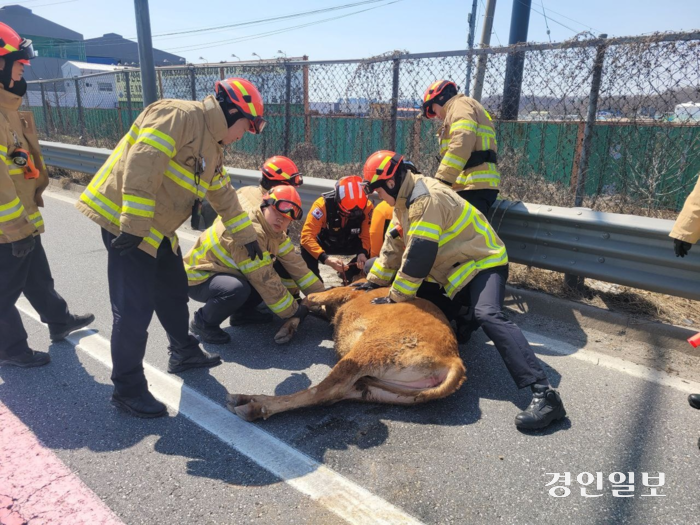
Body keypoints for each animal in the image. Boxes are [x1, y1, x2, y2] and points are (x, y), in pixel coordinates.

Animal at [226, 284, 464, 420]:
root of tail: (453, 361)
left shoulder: (338, 293)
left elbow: (309, 298)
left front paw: (286, 328)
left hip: (367, 352)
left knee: (321, 390)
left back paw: (253, 404)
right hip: (378, 390)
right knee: (332, 394)